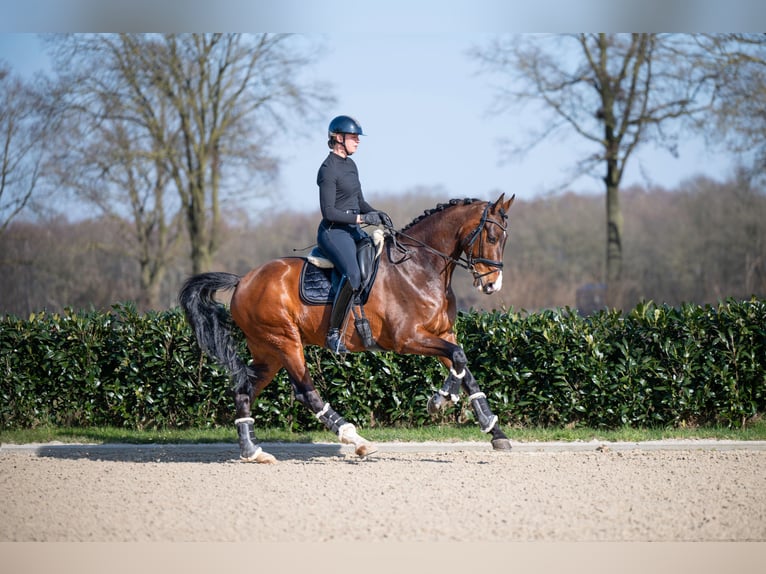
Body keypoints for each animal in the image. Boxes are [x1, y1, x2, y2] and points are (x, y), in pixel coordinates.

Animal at [179, 193, 515, 463]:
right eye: (491, 237)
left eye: (505, 239)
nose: (492, 285)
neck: (421, 266)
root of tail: (242, 281)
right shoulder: (408, 338)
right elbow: (458, 357)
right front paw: (439, 401)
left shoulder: (442, 334)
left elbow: (465, 370)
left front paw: (494, 430)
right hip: (286, 342)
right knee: (306, 393)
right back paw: (357, 440)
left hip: (268, 351)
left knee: (244, 390)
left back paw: (253, 451)